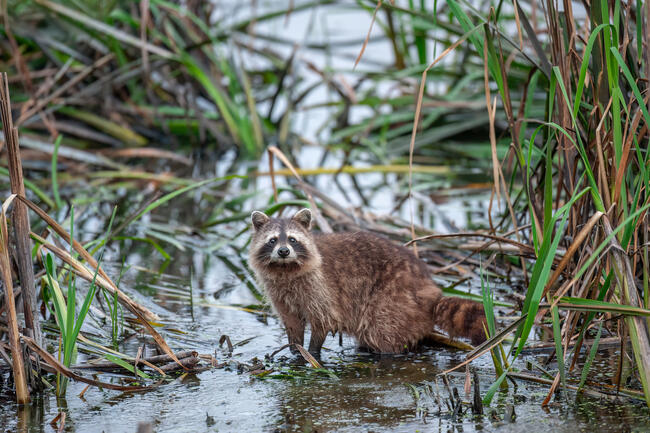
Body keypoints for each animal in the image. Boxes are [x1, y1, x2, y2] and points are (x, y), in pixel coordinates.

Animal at [248, 207, 486, 354]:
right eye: (272, 240)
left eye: (292, 239)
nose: (284, 251)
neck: (285, 269)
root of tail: (430, 290)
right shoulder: (280, 293)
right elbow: (292, 322)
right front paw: (295, 350)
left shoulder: (319, 287)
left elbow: (323, 320)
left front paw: (313, 352)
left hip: (392, 299)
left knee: (382, 330)